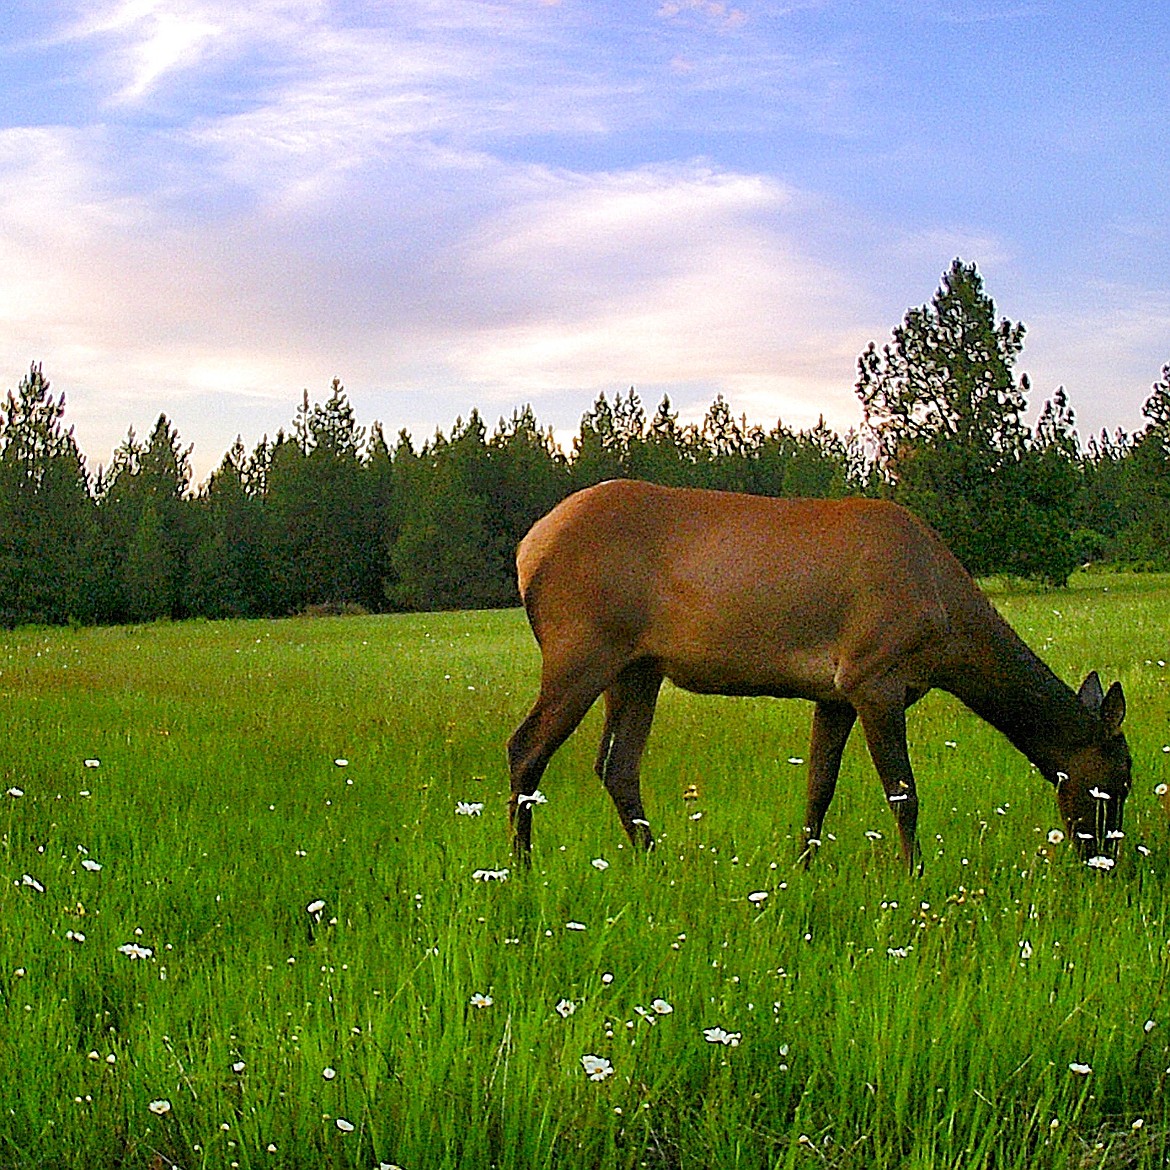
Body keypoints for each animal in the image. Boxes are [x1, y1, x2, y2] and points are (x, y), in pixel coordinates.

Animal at [507, 477, 1127, 870]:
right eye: (1118, 781)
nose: (1108, 862)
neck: (948, 631)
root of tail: (526, 547)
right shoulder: (875, 675)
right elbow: (903, 793)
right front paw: (916, 876)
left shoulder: (835, 693)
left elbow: (818, 788)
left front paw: (803, 867)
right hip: (580, 648)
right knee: (525, 748)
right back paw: (522, 868)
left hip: (636, 669)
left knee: (617, 766)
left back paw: (657, 862)